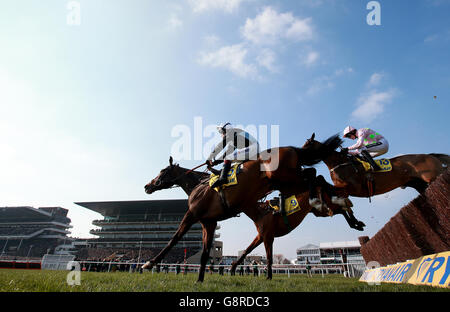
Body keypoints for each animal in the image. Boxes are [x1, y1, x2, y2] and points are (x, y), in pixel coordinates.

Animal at [298, 133, 450, 197]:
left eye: (307, 145)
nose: (298, 158)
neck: (340, 163)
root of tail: (430, 155)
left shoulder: (353, 188)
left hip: (433, 177)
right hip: (420, 185)